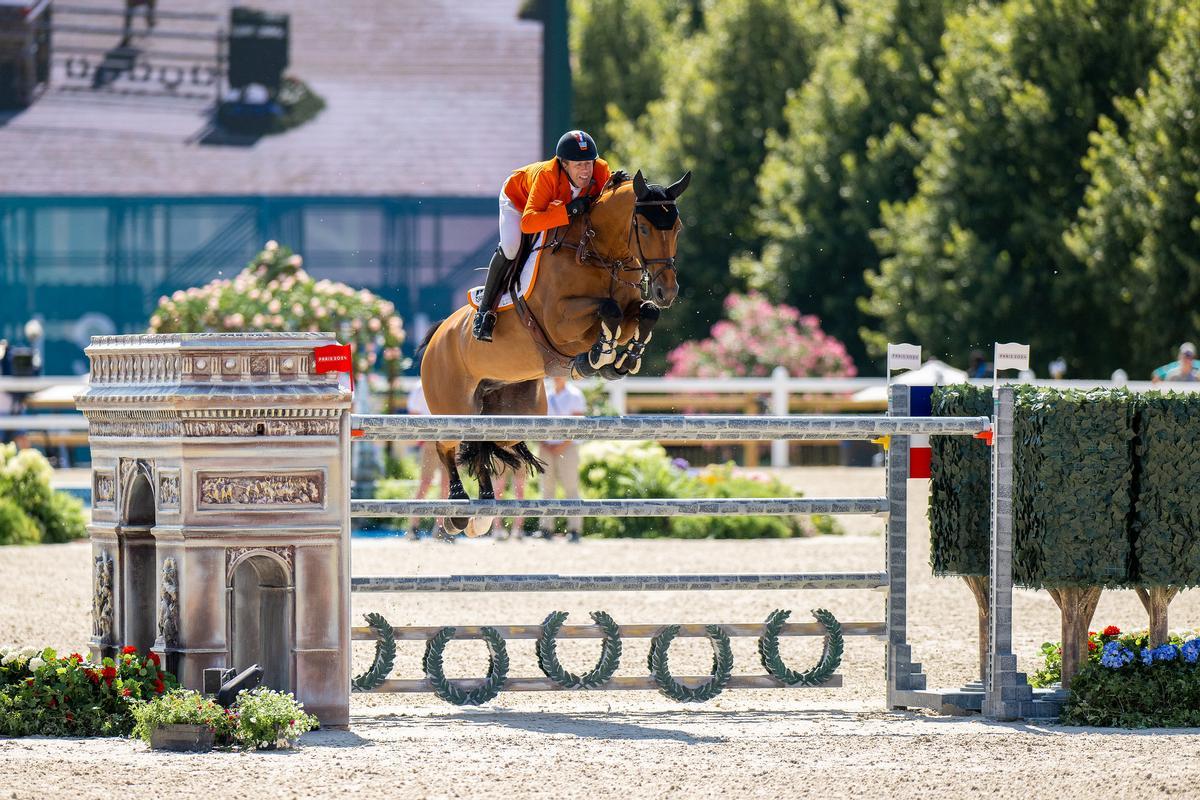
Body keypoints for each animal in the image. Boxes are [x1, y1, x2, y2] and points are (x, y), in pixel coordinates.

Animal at [420, 169, 696, 537]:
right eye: (645, 229)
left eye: (677, 227)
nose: (668, 291)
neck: (597, 253)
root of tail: (438, 335)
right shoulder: (560, 321)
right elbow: (607, 311)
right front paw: (597, 356)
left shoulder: (631, 308)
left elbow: (644, 313)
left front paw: (621, 360)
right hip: (452, 405)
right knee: (445, 445)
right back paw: (458, 509)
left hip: (513, 414)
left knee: (483, 444)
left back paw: (483, 510)